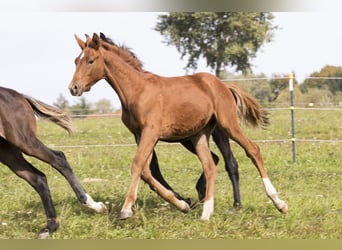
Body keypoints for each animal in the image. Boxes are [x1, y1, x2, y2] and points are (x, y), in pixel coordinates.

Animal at [0, 86, 107, 238]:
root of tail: (18, 94)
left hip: (24, 141)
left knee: (59, 159)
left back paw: (92, 204)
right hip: (6, 151)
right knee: (38, 178)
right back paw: (50, 227)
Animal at [68, 33, 288, 221]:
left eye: (90, 61)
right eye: (76, 61)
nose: (74, 88)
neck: (138, 90)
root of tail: (223, 85)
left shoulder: (150, 132)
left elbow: (138, 165)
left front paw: (126, 209)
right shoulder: (140, 135)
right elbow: (147, 171)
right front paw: (182, 205)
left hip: (228, 125)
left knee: (252, 150)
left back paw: (278, 203)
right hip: (199, 135)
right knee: (210, 165)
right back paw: (206, 212)